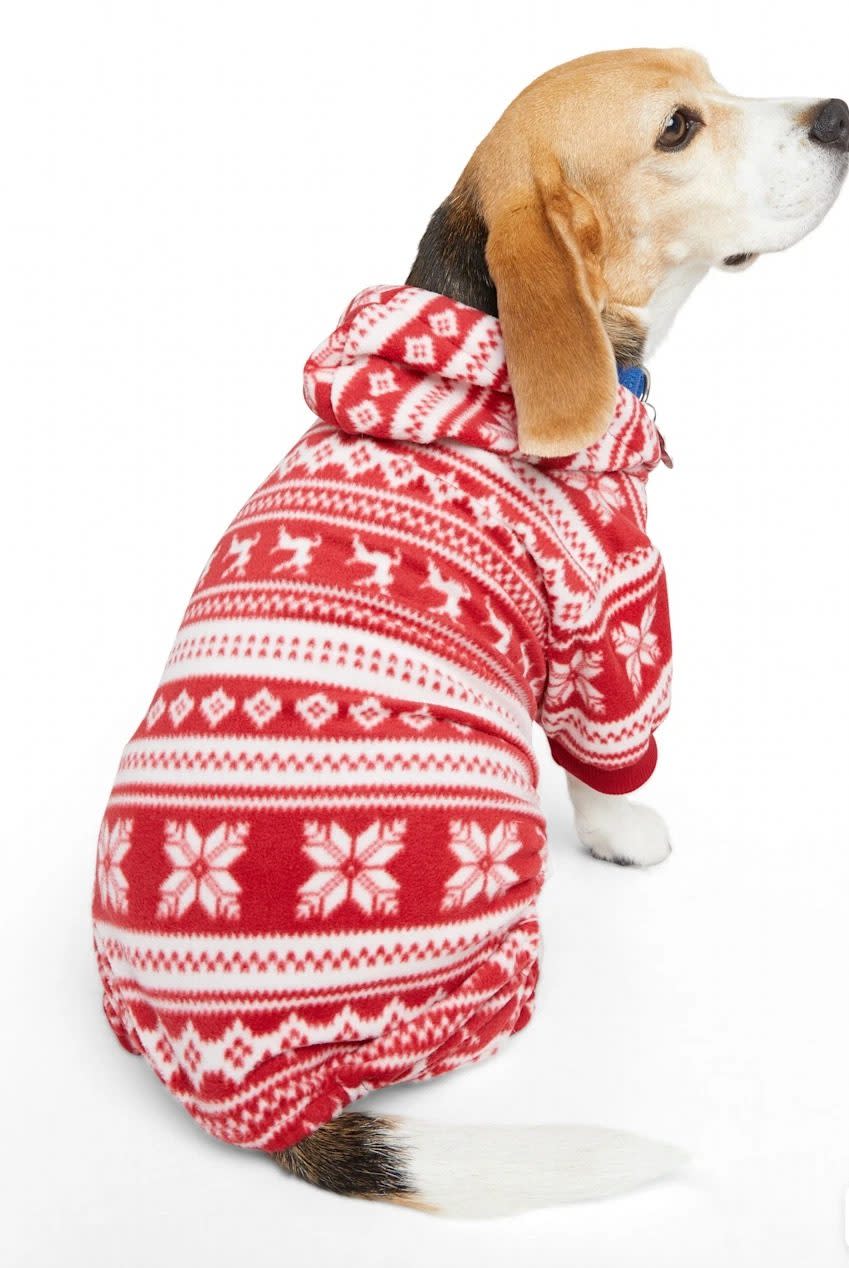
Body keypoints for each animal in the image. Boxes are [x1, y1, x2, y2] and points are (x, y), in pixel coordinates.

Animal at [89, 49, 846, 1217]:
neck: (479, 342)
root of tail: (250, 1097)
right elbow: (606, 760)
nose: (841, 117)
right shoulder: (614, 618)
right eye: (677, 127)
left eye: (712, 74)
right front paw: (627, 832)